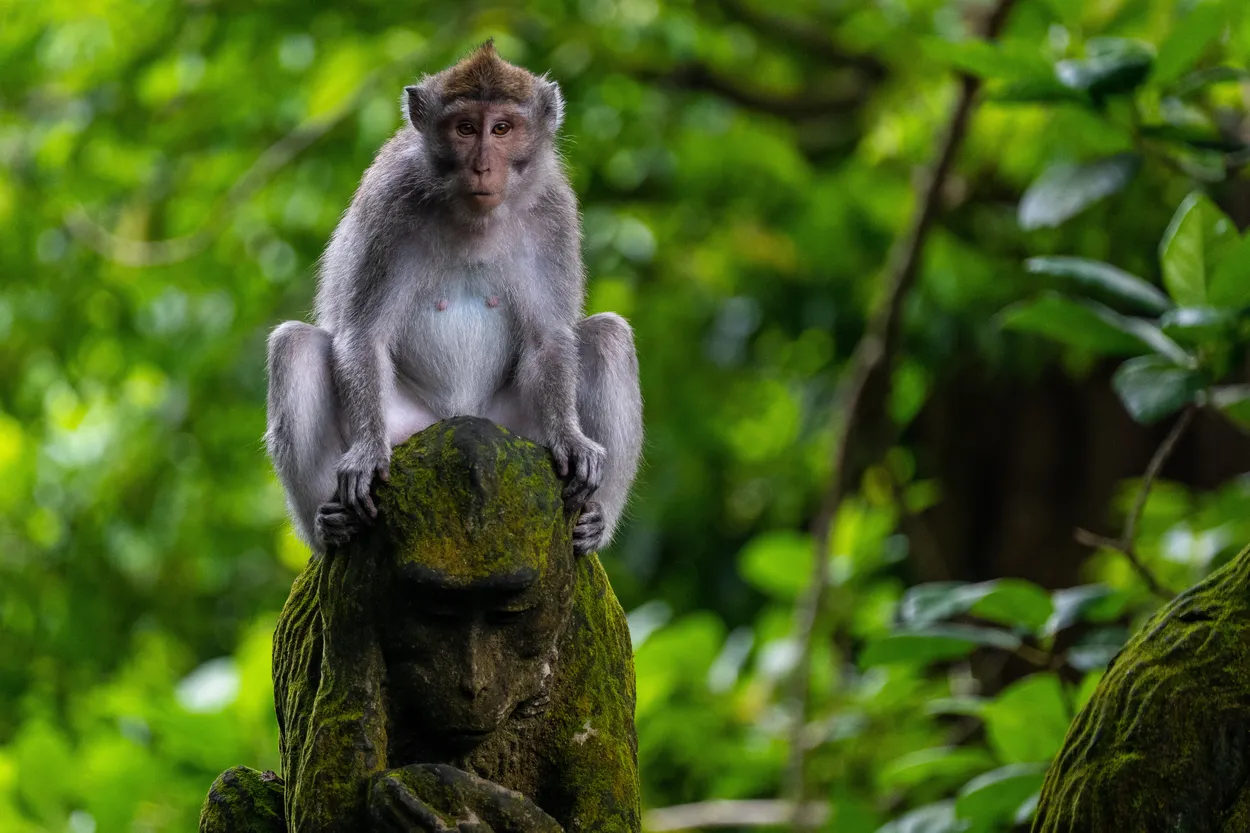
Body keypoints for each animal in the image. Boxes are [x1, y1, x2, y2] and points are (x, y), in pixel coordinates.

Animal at [263, 41, 643, 558]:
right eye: (465, 128)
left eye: (501, 129)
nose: (482, 165)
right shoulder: (389, 202)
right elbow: (363, 335)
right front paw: (365, 454)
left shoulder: (554, 211)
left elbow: (549, 338)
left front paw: (571, 438)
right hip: (408, 434)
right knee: (295, 346)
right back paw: (329, 526)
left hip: (516, 434)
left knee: (607, 335)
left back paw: (594, 522)